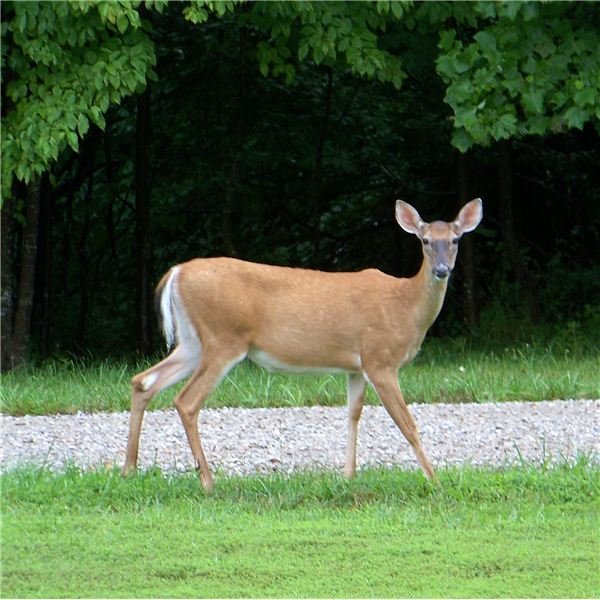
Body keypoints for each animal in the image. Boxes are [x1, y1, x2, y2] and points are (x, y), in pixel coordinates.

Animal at [122, 199, 482, 490]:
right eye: (425, 240)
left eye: (455, 240)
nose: (442, 270)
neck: (405, 307)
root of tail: (177, 272)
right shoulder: (380, 359)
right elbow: (408, 425)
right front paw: (435, 481)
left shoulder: (356, 366)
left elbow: (353, 414)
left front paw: (348, 476)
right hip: (222, 339)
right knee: (186, 401)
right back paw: (207, 481)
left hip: (192, 342)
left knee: (143, 381)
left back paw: (129, 469)